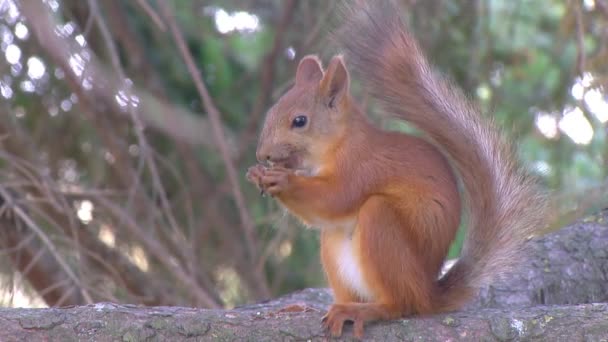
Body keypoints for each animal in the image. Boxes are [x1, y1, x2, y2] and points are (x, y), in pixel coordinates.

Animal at [246, 0, 548, 340]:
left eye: (300, 121)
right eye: (272, 111)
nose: (262, 154)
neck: (339, 144)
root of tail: (428, 293)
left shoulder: (362, 167)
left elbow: (335, 197)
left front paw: (282, 180)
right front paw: (259, 174)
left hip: (382, 225)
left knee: (401, 303)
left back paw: (366, 310)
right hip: (334, 244)